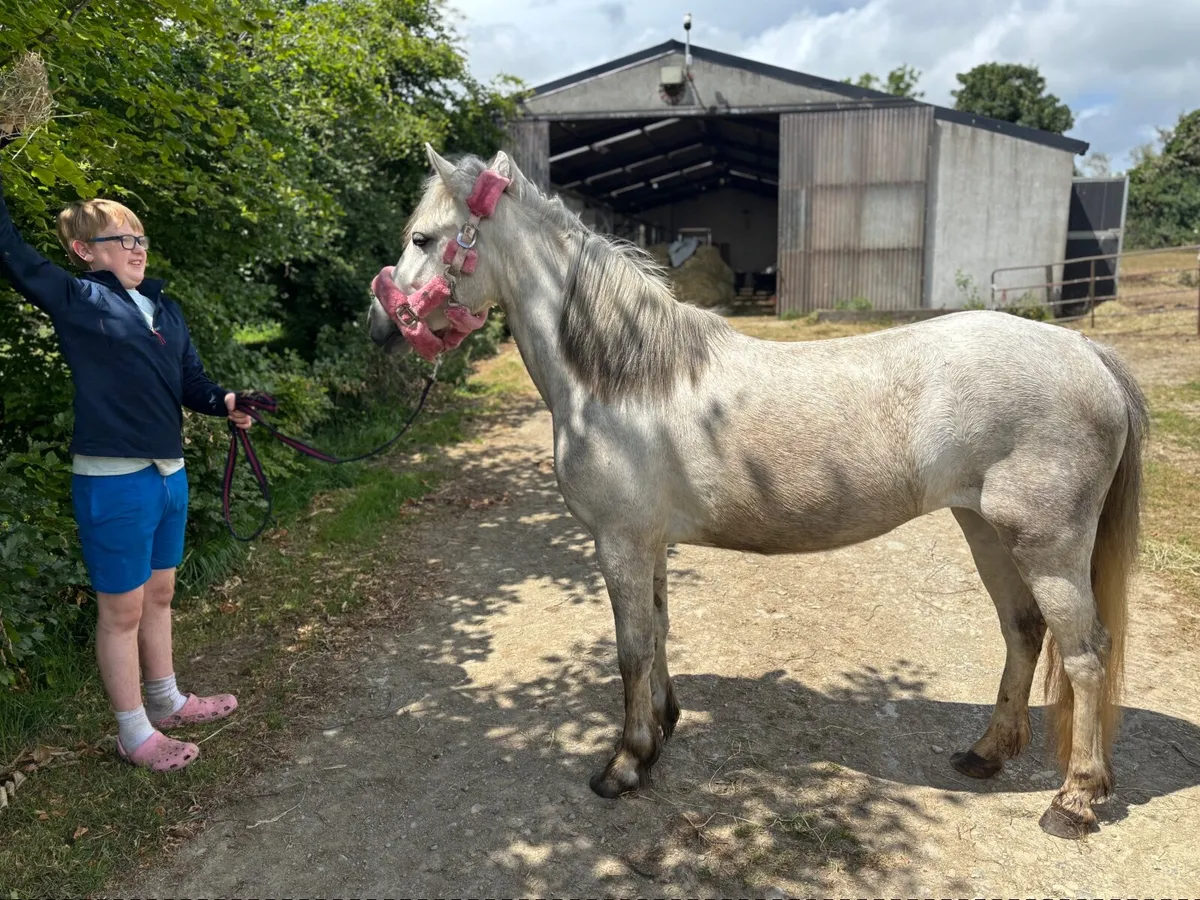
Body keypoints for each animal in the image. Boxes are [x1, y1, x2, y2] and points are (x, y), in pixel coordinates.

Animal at [365, 144, 1148, 840]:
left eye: (423, 237)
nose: (377, 325)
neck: (622, 378)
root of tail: (1085, 350)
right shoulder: (647, 544)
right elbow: (658, 632)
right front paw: (663, 727)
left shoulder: (619, 542)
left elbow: (629, 649)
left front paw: (624, 765)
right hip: (984, 527)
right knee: (1023, 631)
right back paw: (986, 754)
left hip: (1047, 545)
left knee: (1085, 655)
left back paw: (1074, 802)